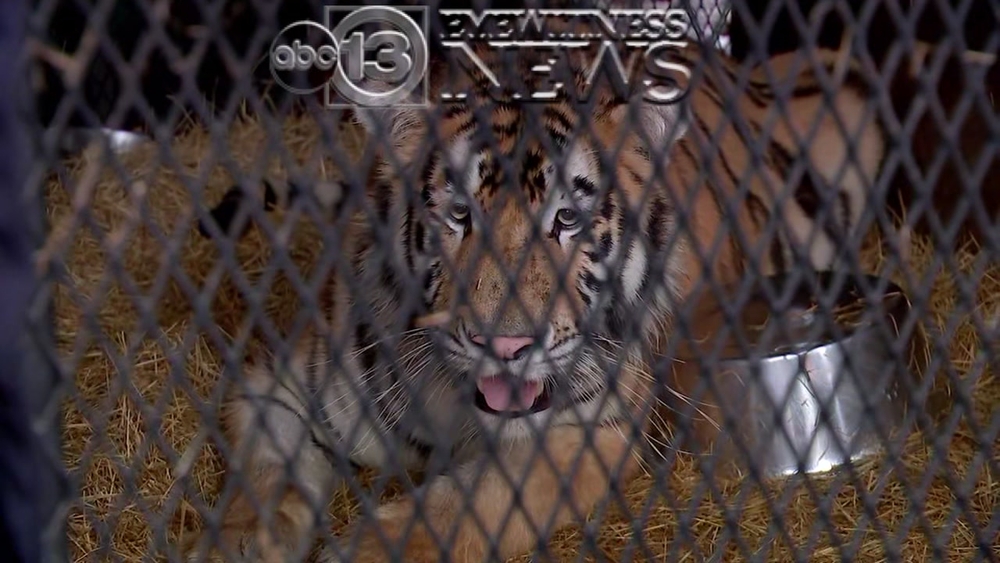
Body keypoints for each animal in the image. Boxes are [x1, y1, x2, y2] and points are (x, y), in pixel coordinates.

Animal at [185, 26, 886, 563]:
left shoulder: (595, 430)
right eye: (460, 214)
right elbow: (262, 474)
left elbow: (459, 505)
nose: (507, 346)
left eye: (567, 219)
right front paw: (238, 543)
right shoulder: (276, 384)